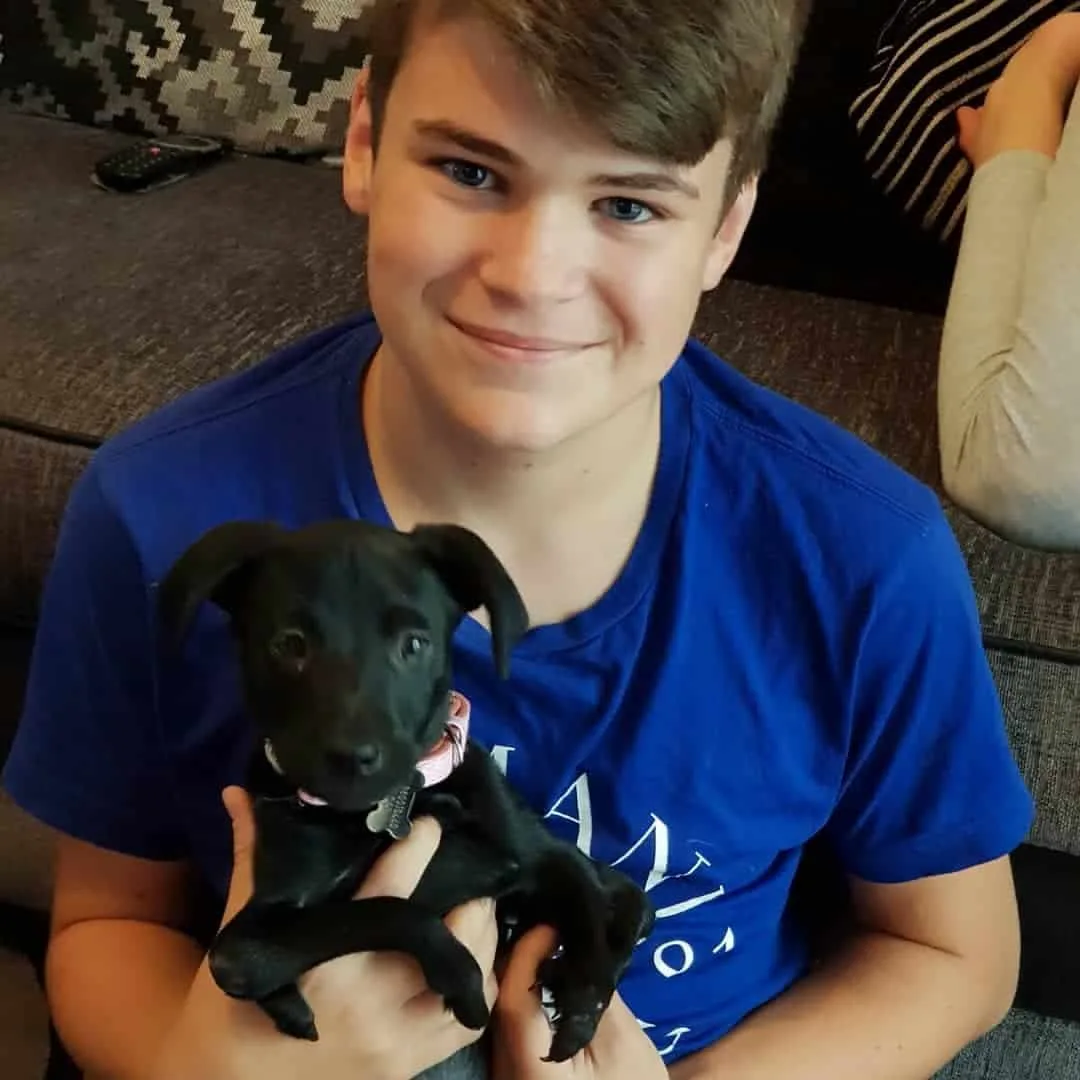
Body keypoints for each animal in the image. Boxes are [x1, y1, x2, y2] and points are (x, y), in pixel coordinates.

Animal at [156, 520, 652, 1071]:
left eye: (414, 645)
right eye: (289, 644)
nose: (352, 757)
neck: (393, 806)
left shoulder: (540, 853)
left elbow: (590, 904)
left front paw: (582, 1002)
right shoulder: (239, 950)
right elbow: (383, 909)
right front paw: (460, 972)